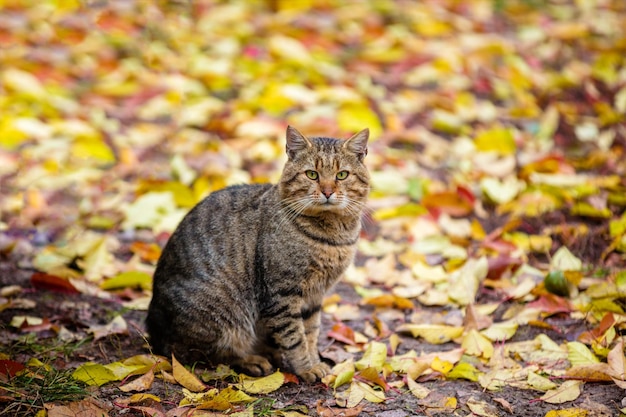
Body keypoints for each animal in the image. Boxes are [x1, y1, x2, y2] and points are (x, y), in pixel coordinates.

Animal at [146, 125, 368, 382]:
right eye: (312, 174)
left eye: (342, 175)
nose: (328, 191)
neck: (333, 237)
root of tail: (153, 327)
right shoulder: (283, 293)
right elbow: (295, 337)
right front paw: (306, 368)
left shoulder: (314, 297)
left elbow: (311, 333)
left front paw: (315, 362)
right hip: (223, 314)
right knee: (202, 356)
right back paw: (252, 361)